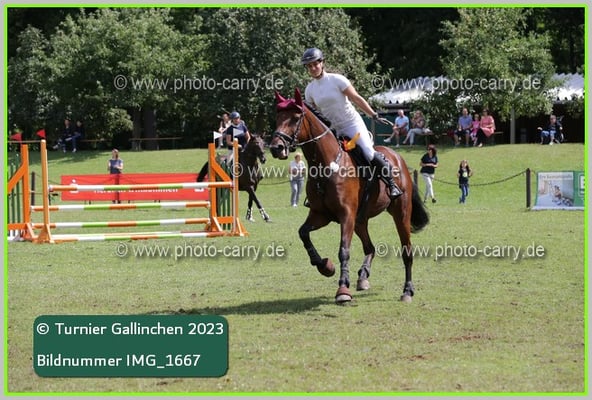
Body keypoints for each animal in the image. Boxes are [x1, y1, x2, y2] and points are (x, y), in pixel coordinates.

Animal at [270, 89, 429, 303]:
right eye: (277, 118)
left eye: (296, 118)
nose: (275, 148)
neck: (327, 165)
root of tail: (398, 159)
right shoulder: (321, 215)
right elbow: (303, 233)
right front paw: (325, 266)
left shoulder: (346, 215)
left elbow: (344, 250)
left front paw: (343, 289)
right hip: (360, 219)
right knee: (370, 248)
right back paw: (363, 278)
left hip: (400, 213)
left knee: (407, 252)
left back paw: (407, 291)